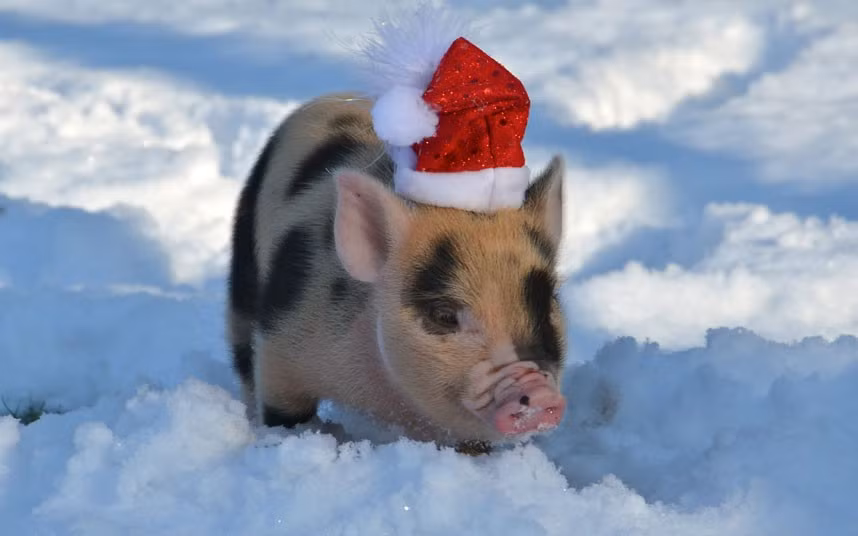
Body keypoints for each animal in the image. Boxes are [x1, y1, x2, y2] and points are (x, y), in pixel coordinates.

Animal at [227, 92, 568, 453]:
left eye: (548, 300)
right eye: (444, 315)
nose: (539, 391)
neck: (386, 401)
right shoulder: (283, 341)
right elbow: (284, 408)